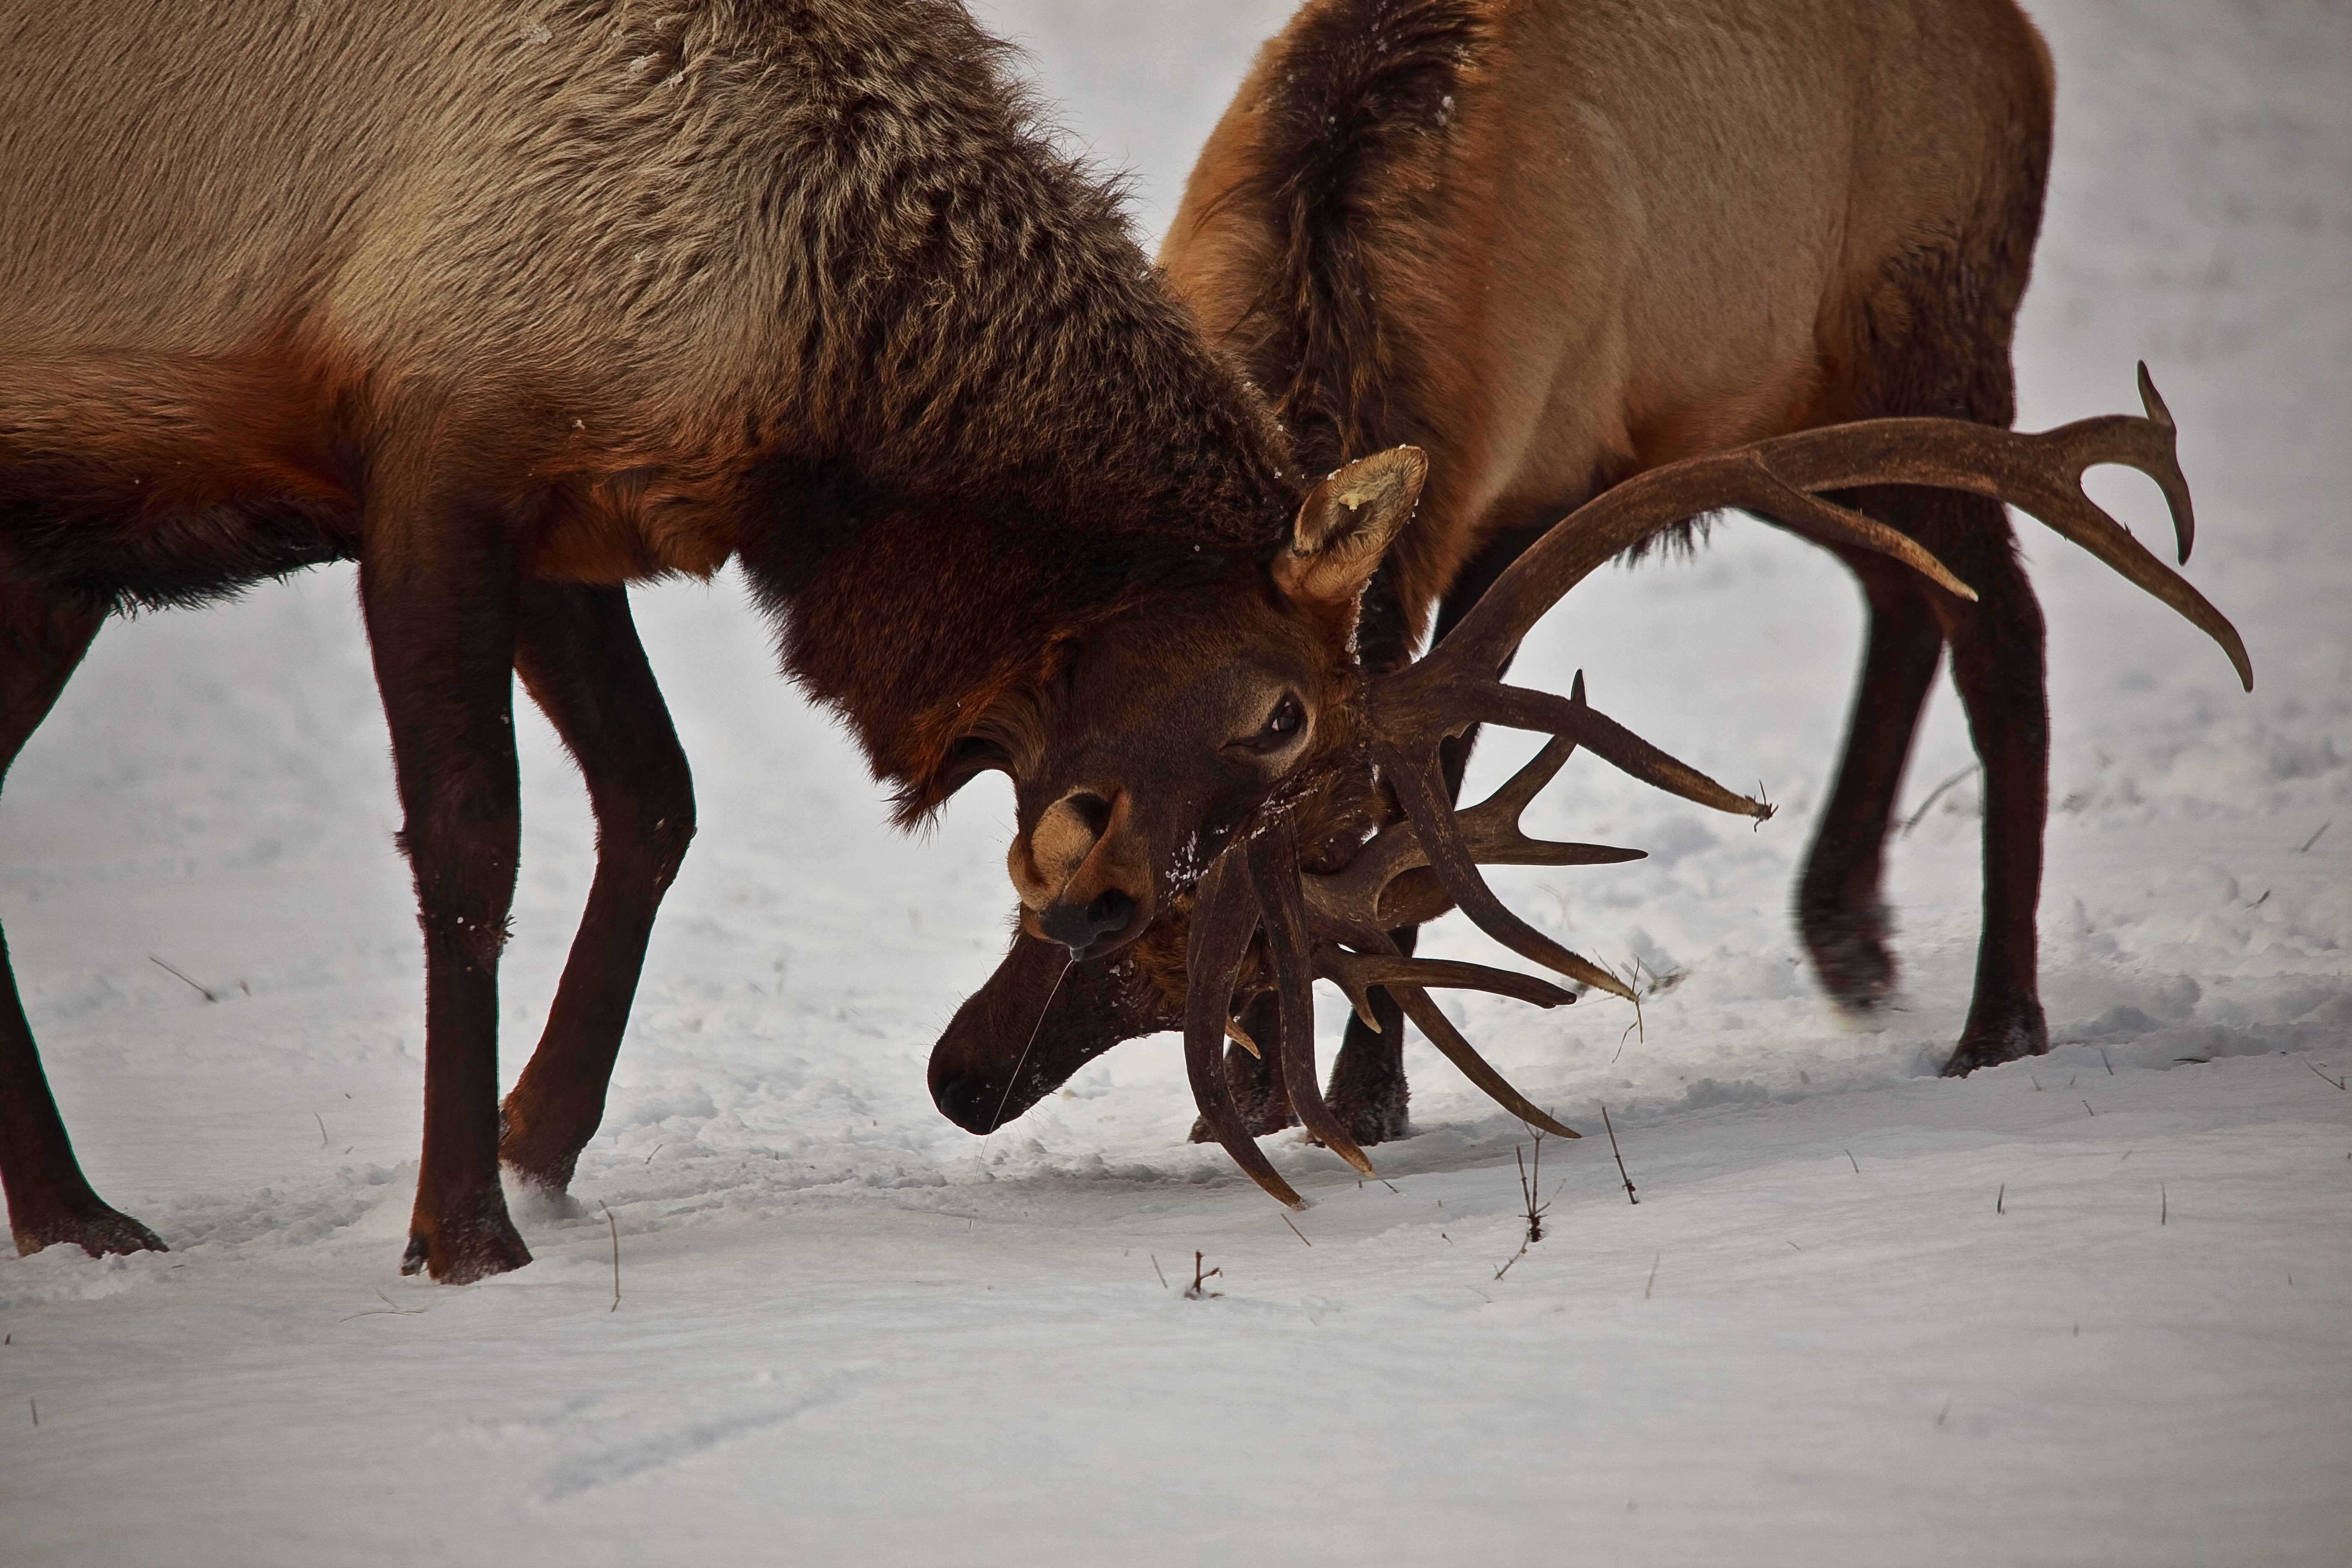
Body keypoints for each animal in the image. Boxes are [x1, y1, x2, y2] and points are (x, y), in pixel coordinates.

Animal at [0, 0, 1470, 1282]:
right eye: (1281, 714)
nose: (1108, 905)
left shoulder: (567, 513)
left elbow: (656, 799)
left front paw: (534, 1146)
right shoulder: (433, 451)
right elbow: (474, 845)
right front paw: (465, 1234)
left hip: (51, 577)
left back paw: (74, 1219)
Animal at [924, 0, 2250, 1198]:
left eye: (1195, 939)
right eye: (1065, 852)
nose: (963, 1079)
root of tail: (2025, 41)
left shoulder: (1519, 497)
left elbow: (1437, 788)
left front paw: (1358, 1094)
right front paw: (1278, 1094)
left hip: (1934, 331)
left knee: (2002, 626)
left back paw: (1997, 1024)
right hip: (1777, 413)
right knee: (1907, 587)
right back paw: (1847, 938)